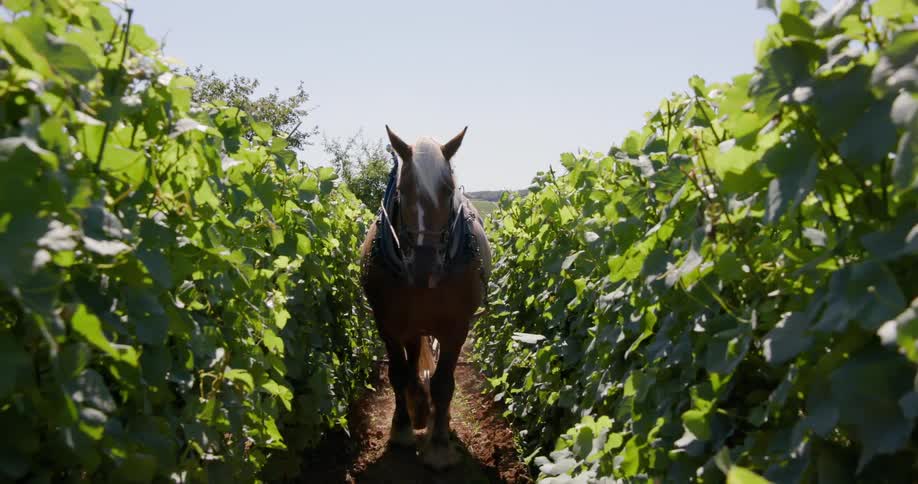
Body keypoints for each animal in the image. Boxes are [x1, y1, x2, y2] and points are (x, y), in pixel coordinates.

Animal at [359, 126, 491, 469]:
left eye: (448, 190)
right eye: (403, 189)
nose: (423, 269)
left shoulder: (457, 328)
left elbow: (444, 385)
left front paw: (440, 445)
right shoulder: (388, 324)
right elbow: (398, 375)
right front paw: (402, 430)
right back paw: (418, 405)